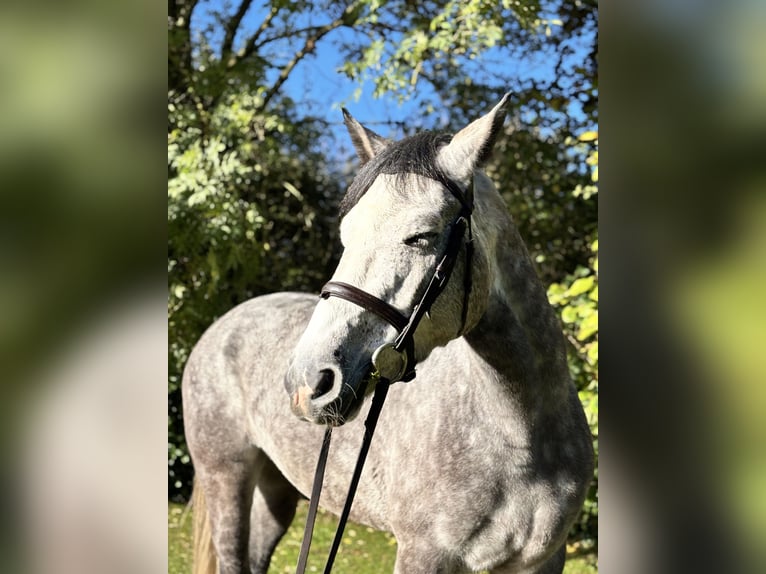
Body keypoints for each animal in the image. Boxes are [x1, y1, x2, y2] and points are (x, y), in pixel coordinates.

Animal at [182, 94, 594, 574]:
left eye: (421, 236)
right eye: (346, 237)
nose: (308, 382)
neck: (523, 437)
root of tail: (222, 325)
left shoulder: (544, 559)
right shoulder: (424, 553)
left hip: (278, 489)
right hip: (226, 477)